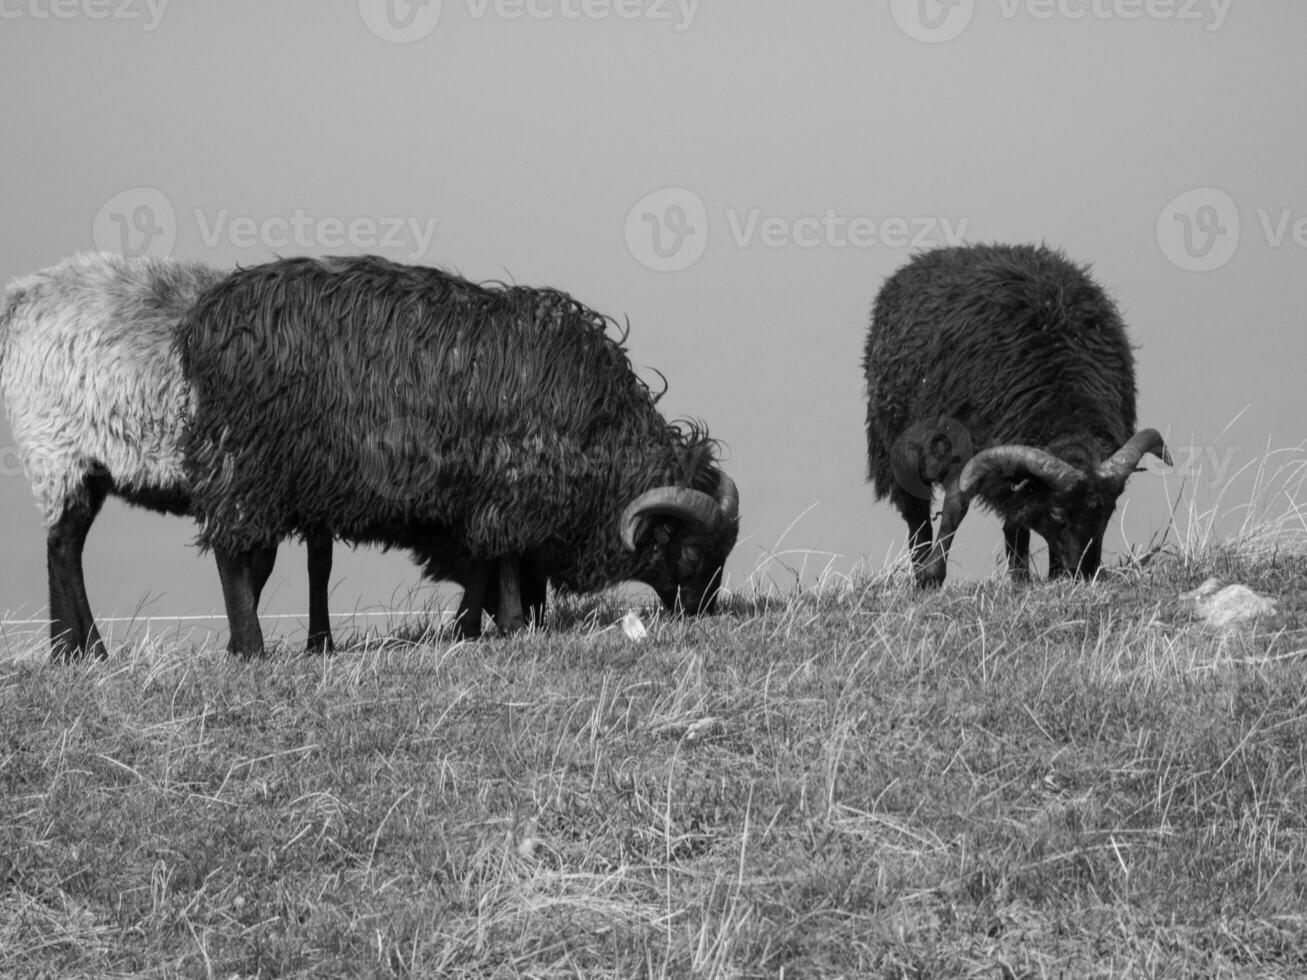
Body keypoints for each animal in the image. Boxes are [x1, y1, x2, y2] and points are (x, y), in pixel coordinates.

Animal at [1, 253, 337, 661]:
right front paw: (257, 645)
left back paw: (67, 652)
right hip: (59, 446)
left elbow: (312, 559)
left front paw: (317, 645)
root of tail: (22, 296)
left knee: (62, 544)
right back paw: (92, 651)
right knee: (63, 545)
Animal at [179, 254, 742, 661]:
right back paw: (251, 648)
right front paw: (512, 625)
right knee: (233, 552)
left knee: (258, 556)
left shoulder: (473, 495)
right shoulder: (513, 484)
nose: (702, 612)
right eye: (692, 555)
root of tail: (207, 319)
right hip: (246, 462)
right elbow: (505, 557)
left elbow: (481, 564)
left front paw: (468, 628)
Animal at [862, 241, 1171, 588]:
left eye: (1107, 511)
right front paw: (932, 576)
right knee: (915, 511)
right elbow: (956, 506)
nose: (1085, 573)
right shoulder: (964, 445)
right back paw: (920, 570)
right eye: (1058, 514)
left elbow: (1016, 520)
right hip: (896, 447)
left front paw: (1041, 576)